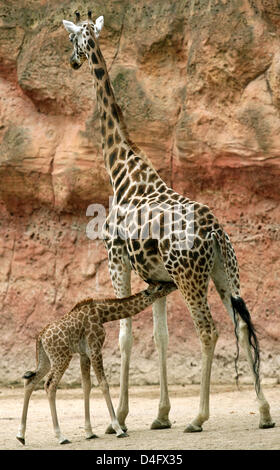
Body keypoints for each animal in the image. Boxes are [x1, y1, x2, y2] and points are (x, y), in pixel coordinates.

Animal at [16, 280, 175, 446]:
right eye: (160, 287)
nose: (174, 285)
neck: (102, 313)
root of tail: (40, 337)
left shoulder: (84, 353)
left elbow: (87, 385)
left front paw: (90, 433)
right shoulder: (95, 347)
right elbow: (104, 384)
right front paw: (118, 430)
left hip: (46, 360)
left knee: (30, 382)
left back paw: (21, 435)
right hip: (61, 357)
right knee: (50, 385)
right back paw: (61, 436)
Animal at [62, 11, 274, 432]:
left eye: (73, 40)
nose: (72, 62)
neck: (120, 168)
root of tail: (215, 231)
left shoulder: (116, 259)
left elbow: (125, 334)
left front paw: (119, 419)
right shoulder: (157, 279)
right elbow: (159, 337)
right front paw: (160, 415)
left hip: (191, 277)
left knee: (208, 330)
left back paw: (199, 417)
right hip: (225, 273)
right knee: (243, 325)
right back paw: (263, 413)